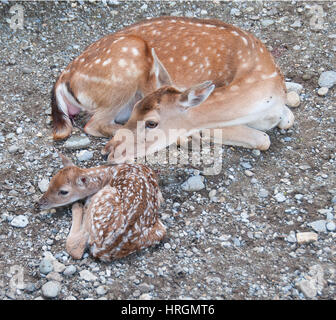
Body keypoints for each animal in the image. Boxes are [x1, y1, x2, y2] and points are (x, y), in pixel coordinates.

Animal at [51, 16, 294, 162]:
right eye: (137, 108)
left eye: (151, 122)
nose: (110, 151)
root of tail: (64, 78)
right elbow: (263, 139)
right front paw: (193, 136)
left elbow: (287, 119)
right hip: (129, 58)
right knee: (93, 123)